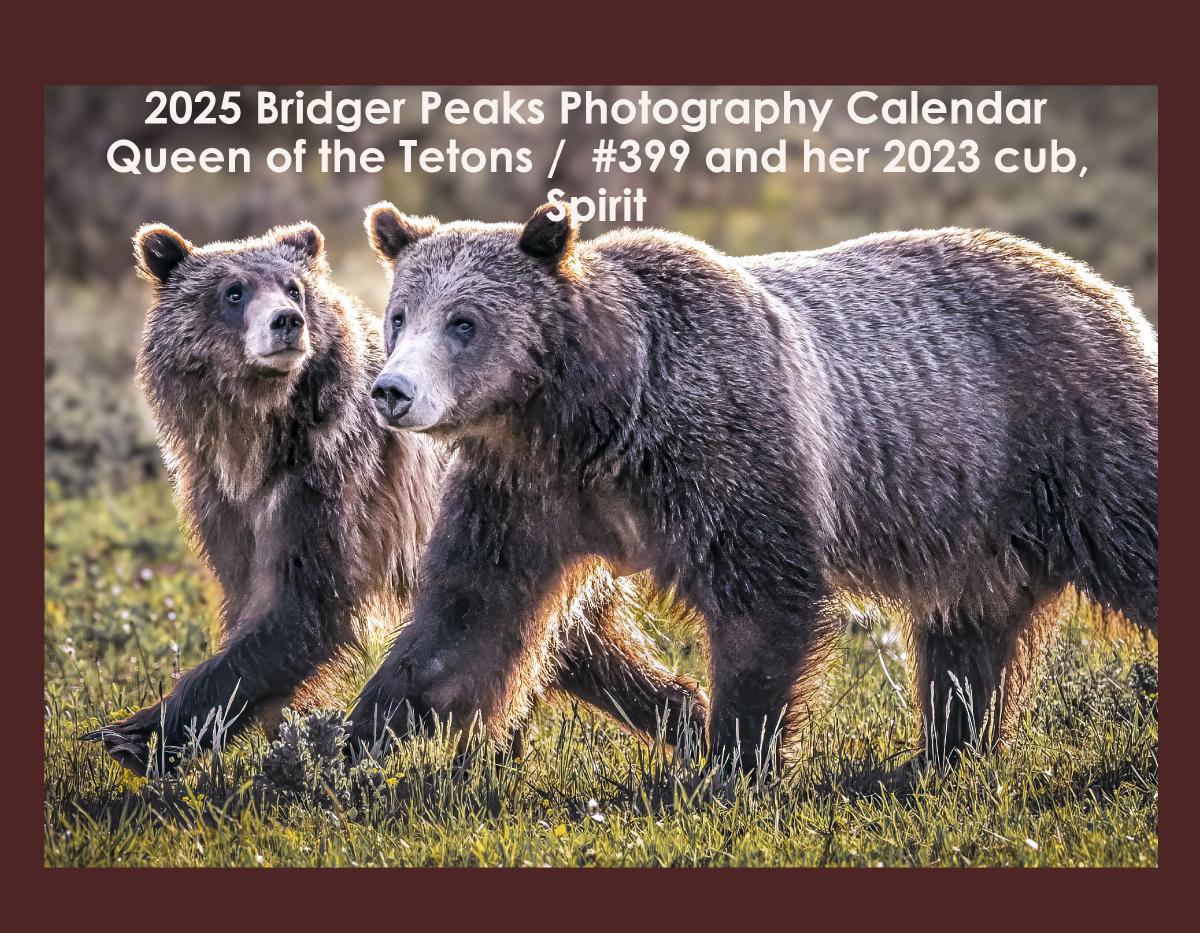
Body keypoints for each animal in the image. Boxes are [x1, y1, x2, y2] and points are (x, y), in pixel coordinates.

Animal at [85, 220, 707, 774]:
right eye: (233, 291)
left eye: (292, 287)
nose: (287, 322)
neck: (259, 440)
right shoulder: (225, 500)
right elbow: (251, 602)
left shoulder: (330, 480)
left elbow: (303, 608)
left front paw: (134, 735)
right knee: (577, 650)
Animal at [355, 200, 1158, 777]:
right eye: (400, 315)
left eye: (464, 322)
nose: (391, 390)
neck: (596, 420)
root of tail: (1104, 288)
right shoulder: (525, 493)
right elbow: (465, 624)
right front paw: (346, 749)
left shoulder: (727, 448)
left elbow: (763, 601)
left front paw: (732, 764)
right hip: (976, 517)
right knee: (967, 635)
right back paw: (938, 756)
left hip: (1075, 439)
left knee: (1134, 543)